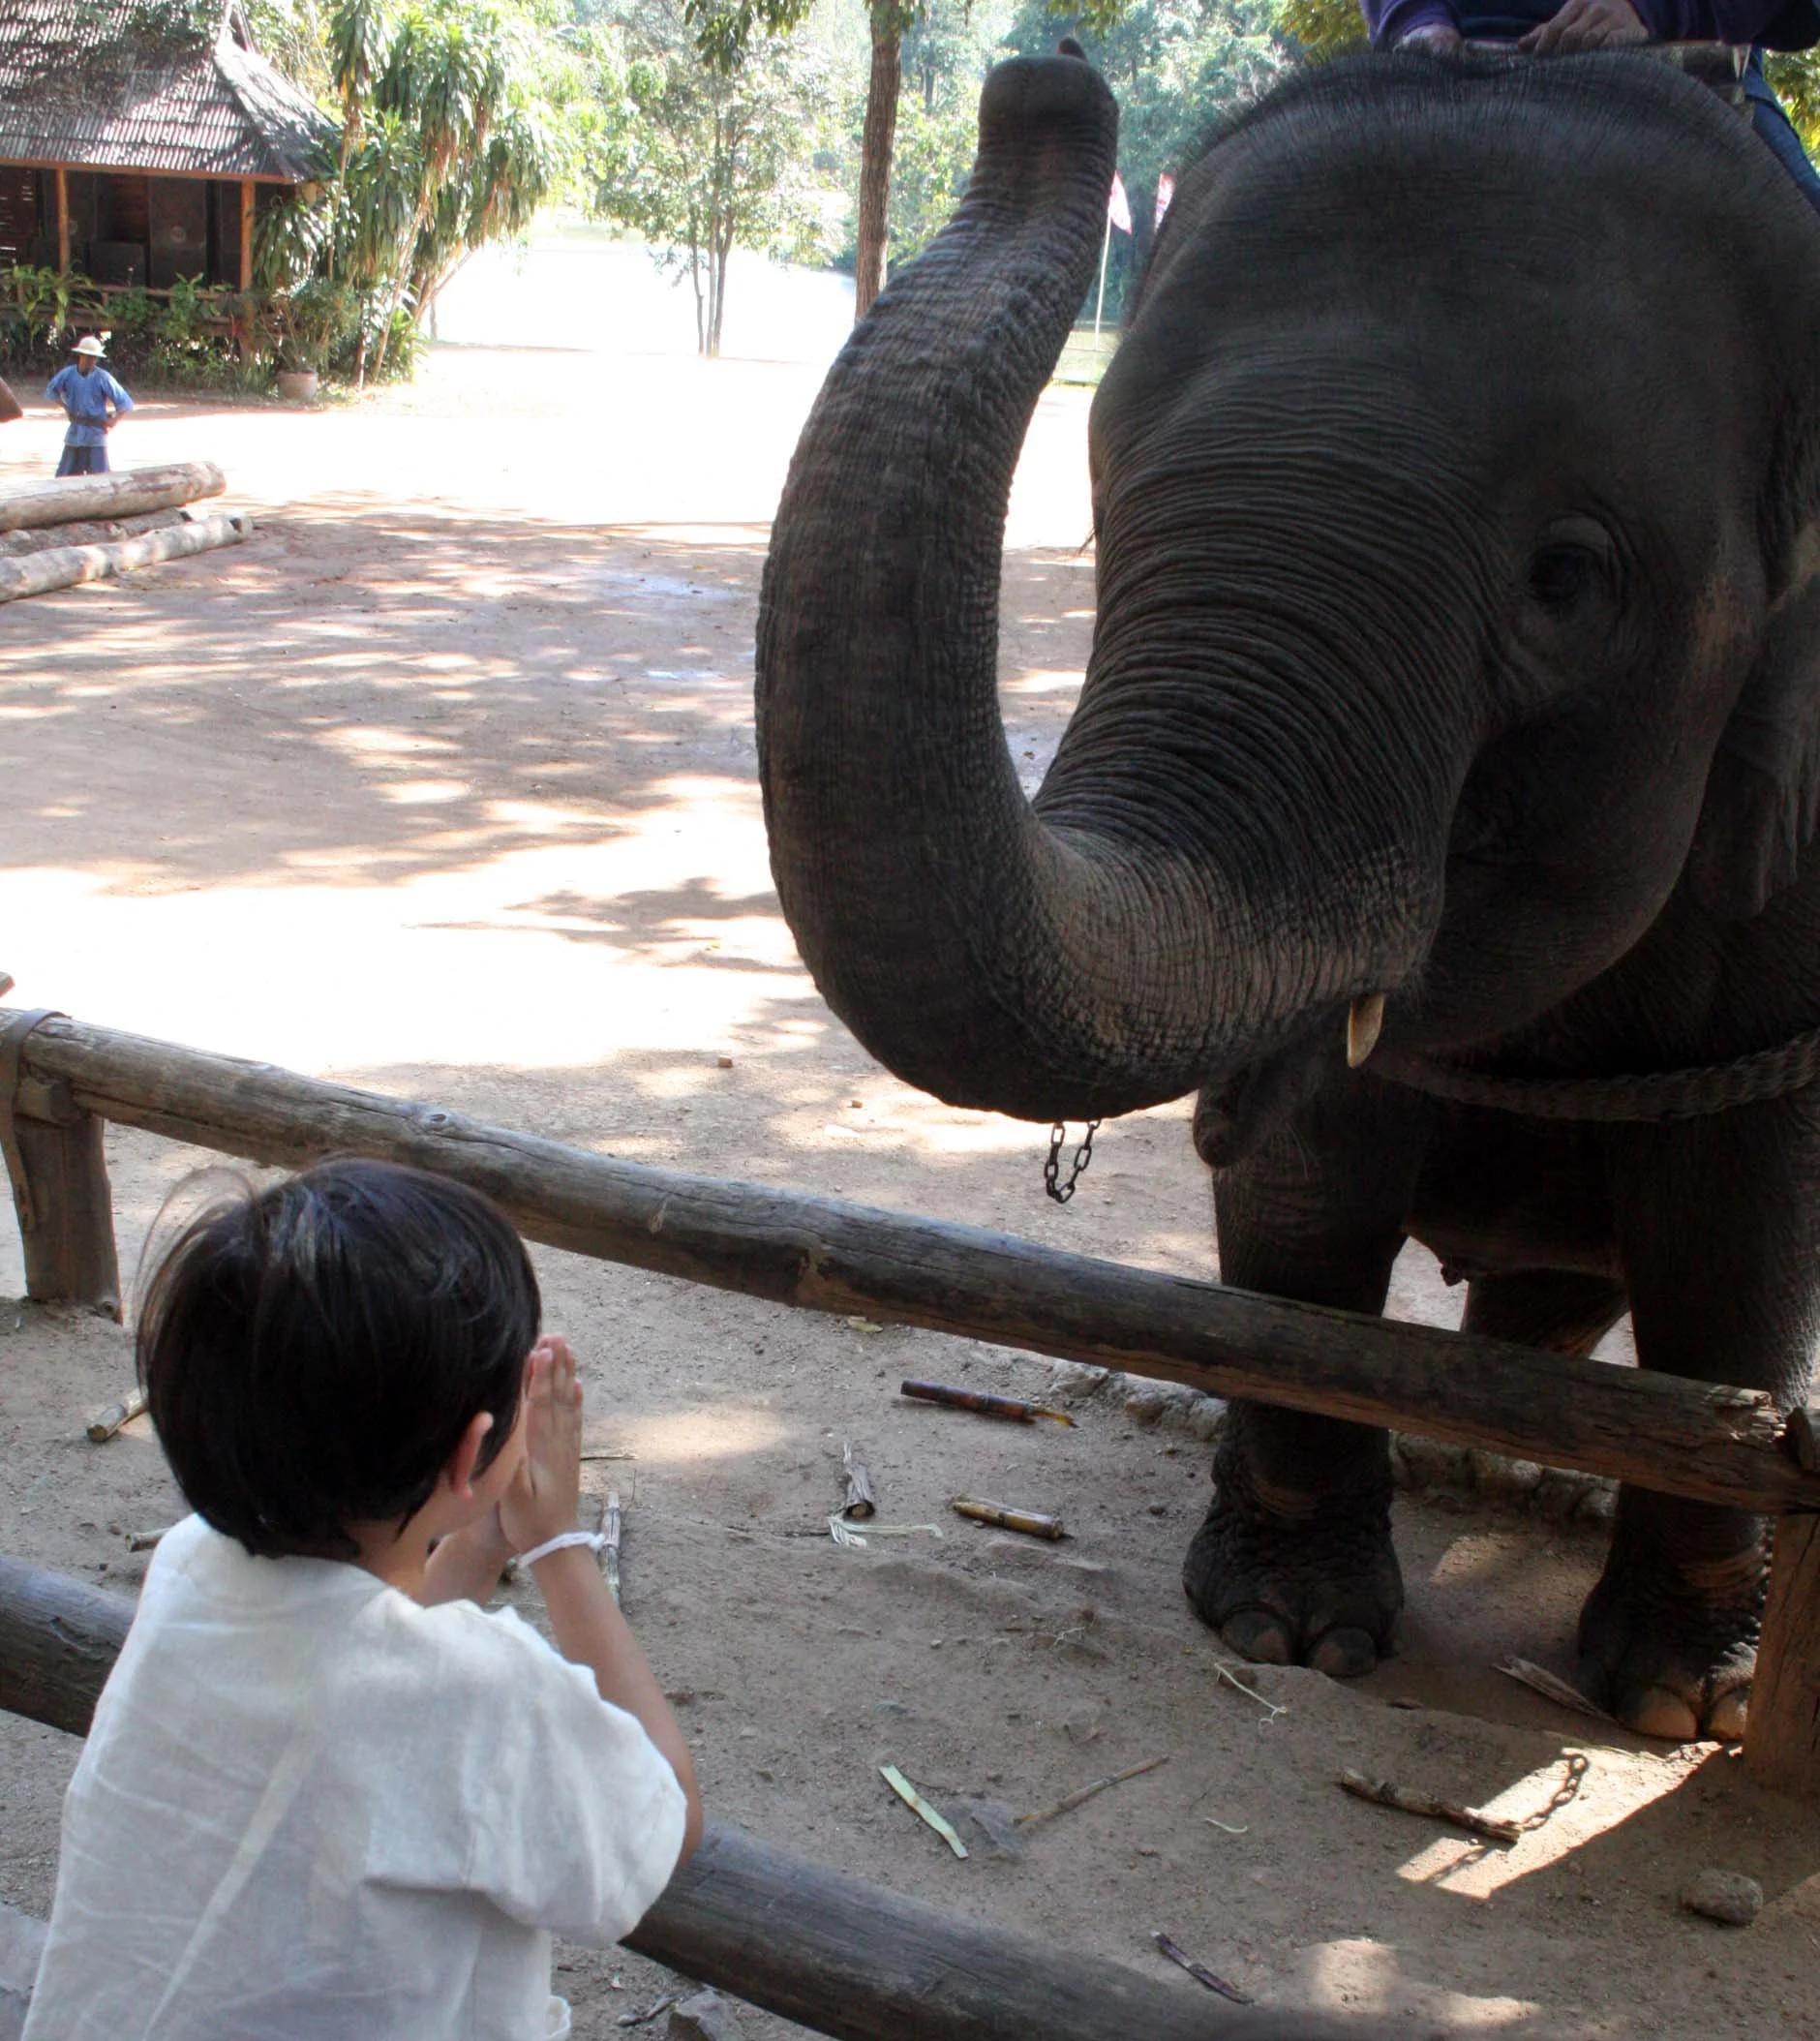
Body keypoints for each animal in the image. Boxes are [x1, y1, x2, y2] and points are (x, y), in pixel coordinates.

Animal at [755, 43, 1820, 1741]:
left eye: (1569, 580)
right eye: (1110, 498)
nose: (1043, 80)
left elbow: (1739, 1234)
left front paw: (1677, 1700)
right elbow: (1309, 1200)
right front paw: (1291, 1630)